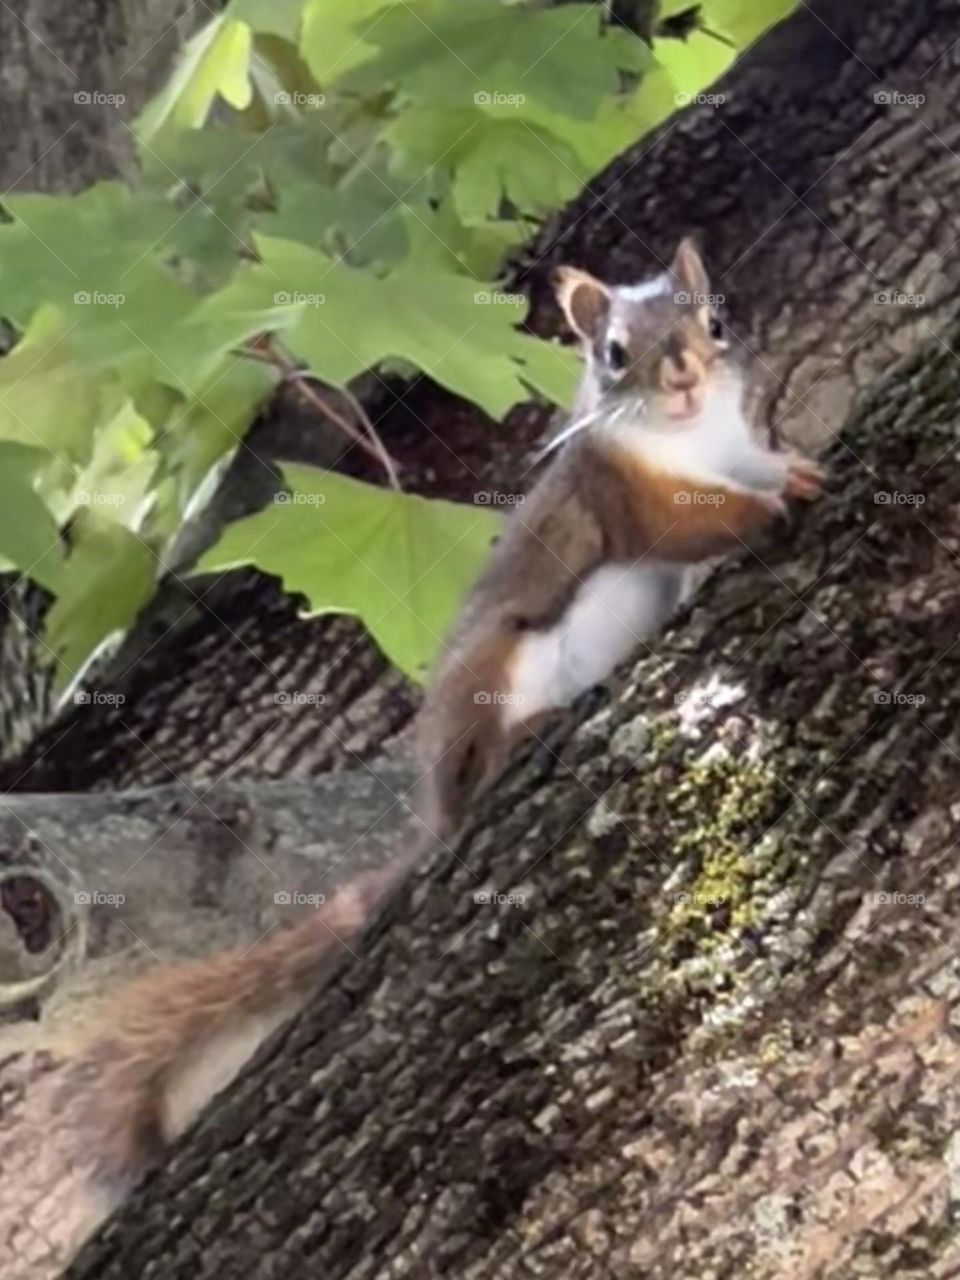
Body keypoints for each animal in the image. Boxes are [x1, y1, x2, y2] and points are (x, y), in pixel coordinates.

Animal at [48, 238, 823, 1211]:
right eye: (612, 352)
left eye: (714, 319)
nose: (681, 374)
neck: (695, 440)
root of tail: (439, 812)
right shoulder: (629, 501)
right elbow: (695, 526)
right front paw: (774, 501)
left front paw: (796, 467)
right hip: (499, 668)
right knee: (484, 760)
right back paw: (522, 739)